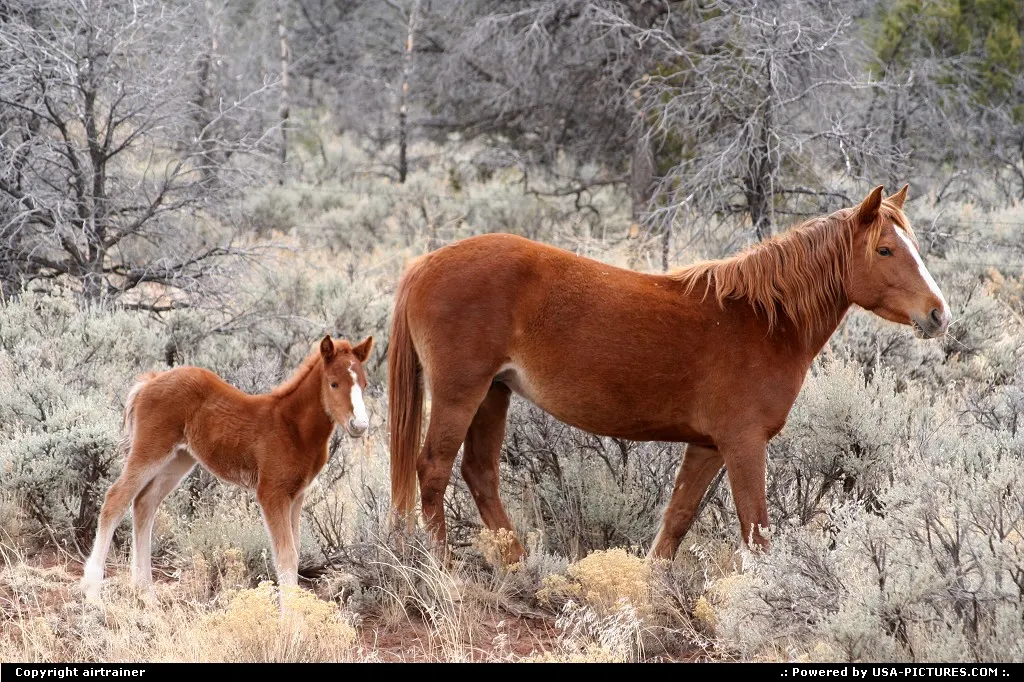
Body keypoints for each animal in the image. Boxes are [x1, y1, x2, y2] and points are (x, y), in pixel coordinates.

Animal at [81, 334, 374, 600]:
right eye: (333, 383)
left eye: (365, 384)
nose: (359, 425)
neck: (292, 427)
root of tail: (149, 381)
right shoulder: (272, 493)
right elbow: (286, 555)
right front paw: (291, 620)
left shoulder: (297, 495)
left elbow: (296, 551)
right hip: (151, 449)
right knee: (116, 499)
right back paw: (93, 593)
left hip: (178, 460)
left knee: (144, 503)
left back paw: (147, 594)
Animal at [387, 185, 950, 562]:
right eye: (885, 249)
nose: (938, 314)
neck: (763, 320)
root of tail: (424, 265)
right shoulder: (744, 443)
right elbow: (757, 531)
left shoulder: (706, 445)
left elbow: (676, 521)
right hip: (461, 393)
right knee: (432, 470)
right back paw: (444, 565)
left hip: (493, 394)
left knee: (479, 475)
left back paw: (519, 564)